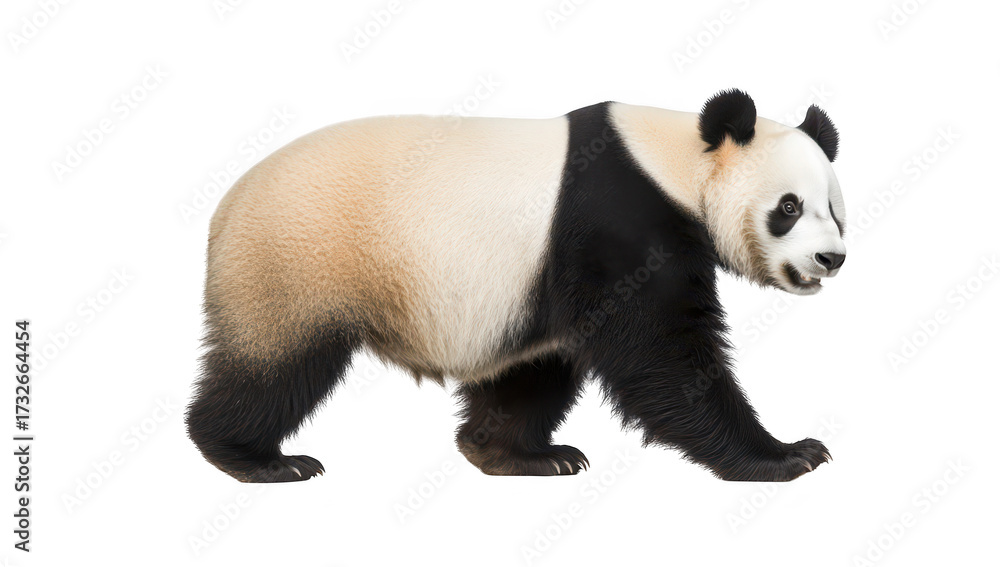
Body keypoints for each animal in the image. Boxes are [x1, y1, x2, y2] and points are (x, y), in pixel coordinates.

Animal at [186, 89, 846, 483]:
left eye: (835, 209)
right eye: (788, 207)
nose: (831, 258)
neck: (675, 161)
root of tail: (224, 209)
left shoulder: (547, 278)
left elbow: (542, 365)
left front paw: (513, 451)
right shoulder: (618, 220)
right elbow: (664, 357)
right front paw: (787, 454)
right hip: (297, 262)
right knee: (275, 367)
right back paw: (256, 459)